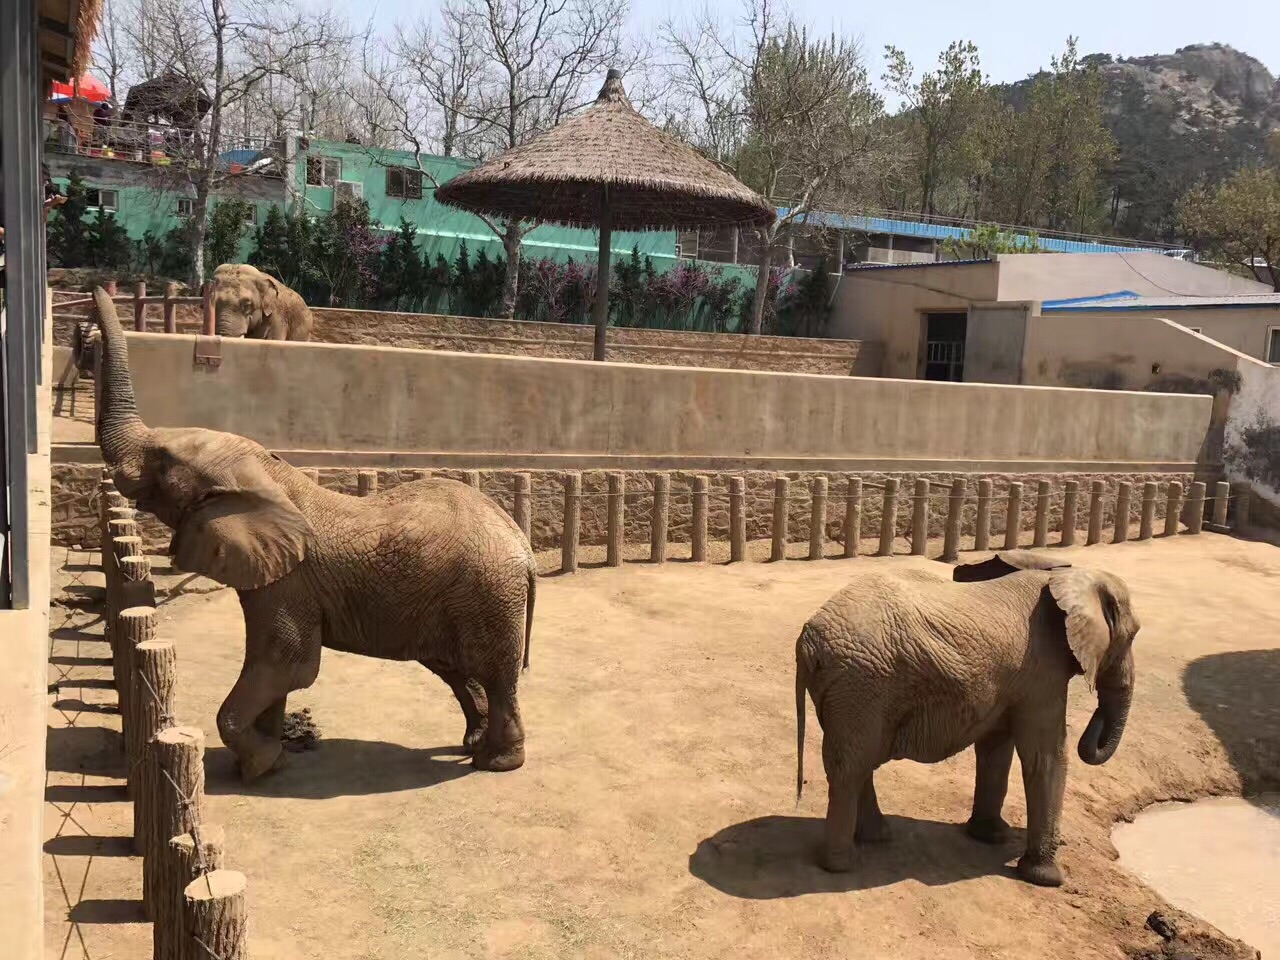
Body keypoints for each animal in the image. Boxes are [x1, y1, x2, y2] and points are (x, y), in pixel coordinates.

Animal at [92, 291, 535, 783]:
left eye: (163, 461)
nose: (93, 304)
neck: (272, 476)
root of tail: (522, 545)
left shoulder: (289, 583)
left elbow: (289, 663)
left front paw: (258, 765)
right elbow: (275, 669)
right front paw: (272, 756)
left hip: (487, 594)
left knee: (494, 675)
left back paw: (496, 762)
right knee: (457, 670)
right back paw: (472, 746)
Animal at [798, 552, 1141, 890]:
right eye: (1133, 635)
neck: (1061, 575)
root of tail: (808, 639)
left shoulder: (1013, 678)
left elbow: (996, 748)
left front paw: (991, 837)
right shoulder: (1043, 673)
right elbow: (1045, 756)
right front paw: (1047, 879)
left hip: (855, 689)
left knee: (859, 759)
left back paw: (876, 838)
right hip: (862, 684)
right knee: (850, 767)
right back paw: (843, 865)